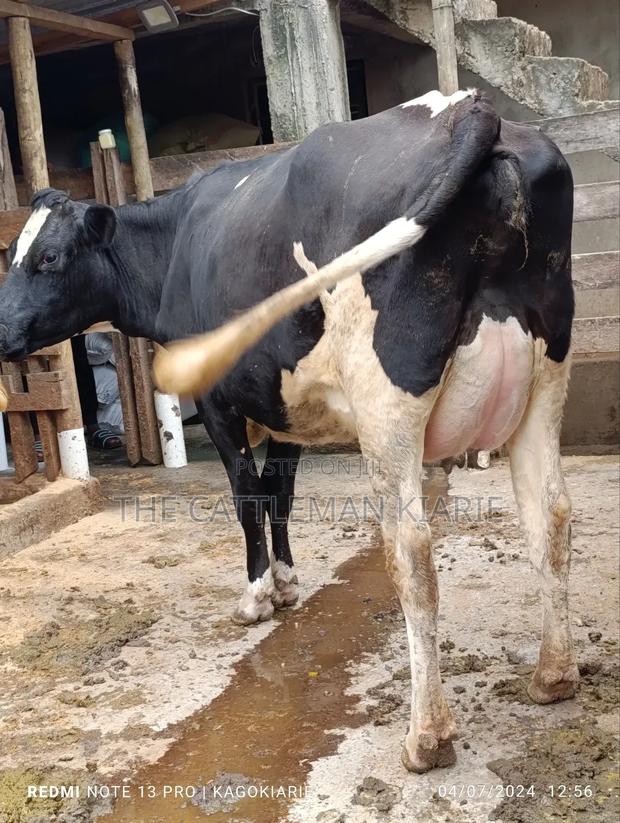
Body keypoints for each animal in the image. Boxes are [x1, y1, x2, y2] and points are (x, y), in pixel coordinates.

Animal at [0, 90, 577, 773]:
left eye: (48, 258)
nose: (0, 331)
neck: (179, 242)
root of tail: (467, 109)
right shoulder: (285, 405)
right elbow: (280, 494)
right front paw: (288, 581)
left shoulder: (219, 399)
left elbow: (247, 496)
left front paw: (257, 596)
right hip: (545, 379)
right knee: (549, 515)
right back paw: (554, 677)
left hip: (387, 401)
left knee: (411, 549)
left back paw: (427, 736)